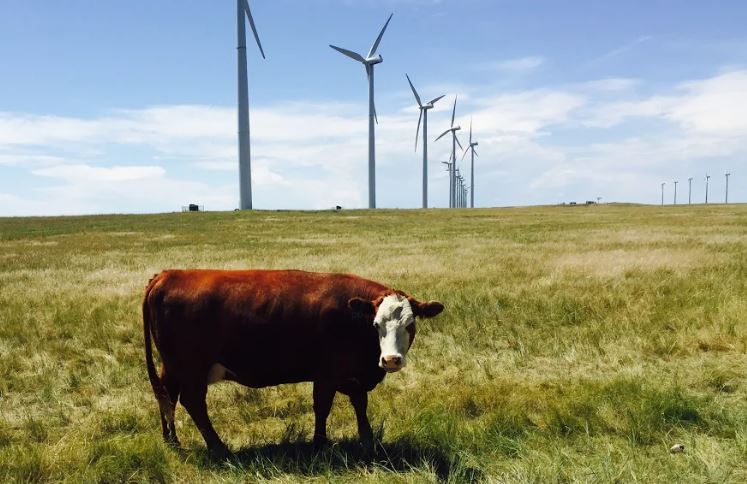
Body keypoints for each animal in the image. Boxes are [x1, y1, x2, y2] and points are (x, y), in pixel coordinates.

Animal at [143, 268, 442, 458]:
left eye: (410, 324)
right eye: (376, 324)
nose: (391, 360)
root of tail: (169, 274)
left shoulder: (353, 375)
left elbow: (360, 404)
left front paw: (367, 440)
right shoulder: (327, 374)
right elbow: (322, 407)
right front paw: (319, 444)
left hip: (172, 367)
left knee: (167, 397)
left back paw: (172, 441)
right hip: (191, 368)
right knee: (192, 402)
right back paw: (218, 447)